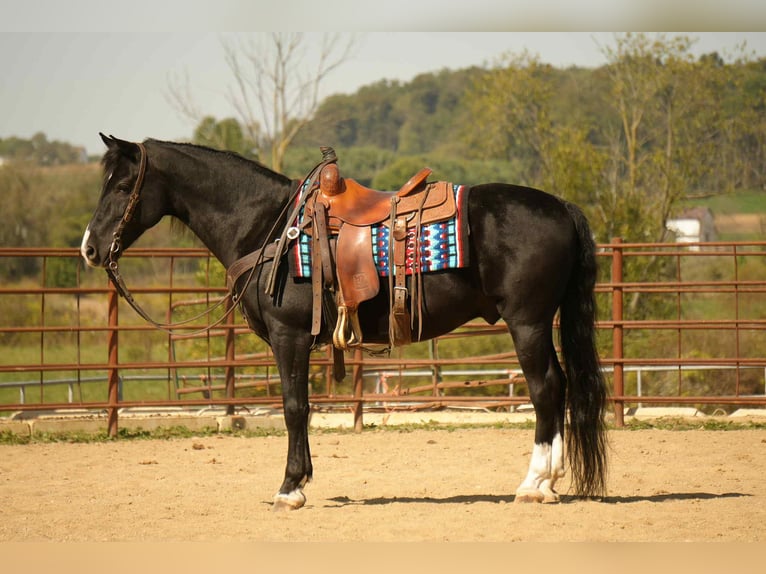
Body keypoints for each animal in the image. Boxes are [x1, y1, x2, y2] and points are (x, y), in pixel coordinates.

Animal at [81, 134, 608, 510]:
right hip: (539, 324)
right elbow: (304, 408)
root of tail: (562, 207)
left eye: (123, 186)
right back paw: (550, 482)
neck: (269, 226)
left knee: (544, 389)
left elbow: (295, 407)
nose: (89, 248)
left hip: (528, 324)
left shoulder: (288, 336)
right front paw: (302, 480)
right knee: (559, 385)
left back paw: (534, 483)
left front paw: (290, 488)